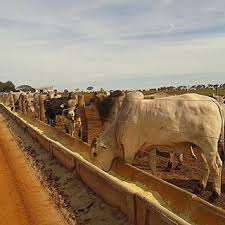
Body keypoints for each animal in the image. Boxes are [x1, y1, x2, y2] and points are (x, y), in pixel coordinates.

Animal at [91, 91, 225, 199]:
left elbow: (129, 166)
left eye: (95, 153)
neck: (118, 126)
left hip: (209, 146)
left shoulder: (129, 150)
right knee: (210, 165)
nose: (96, 169)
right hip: (203, 147)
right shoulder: (151, 148)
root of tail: (213, 101)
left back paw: (215, 194)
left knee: (216, 167)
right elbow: (153, 167)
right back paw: (200, 187)